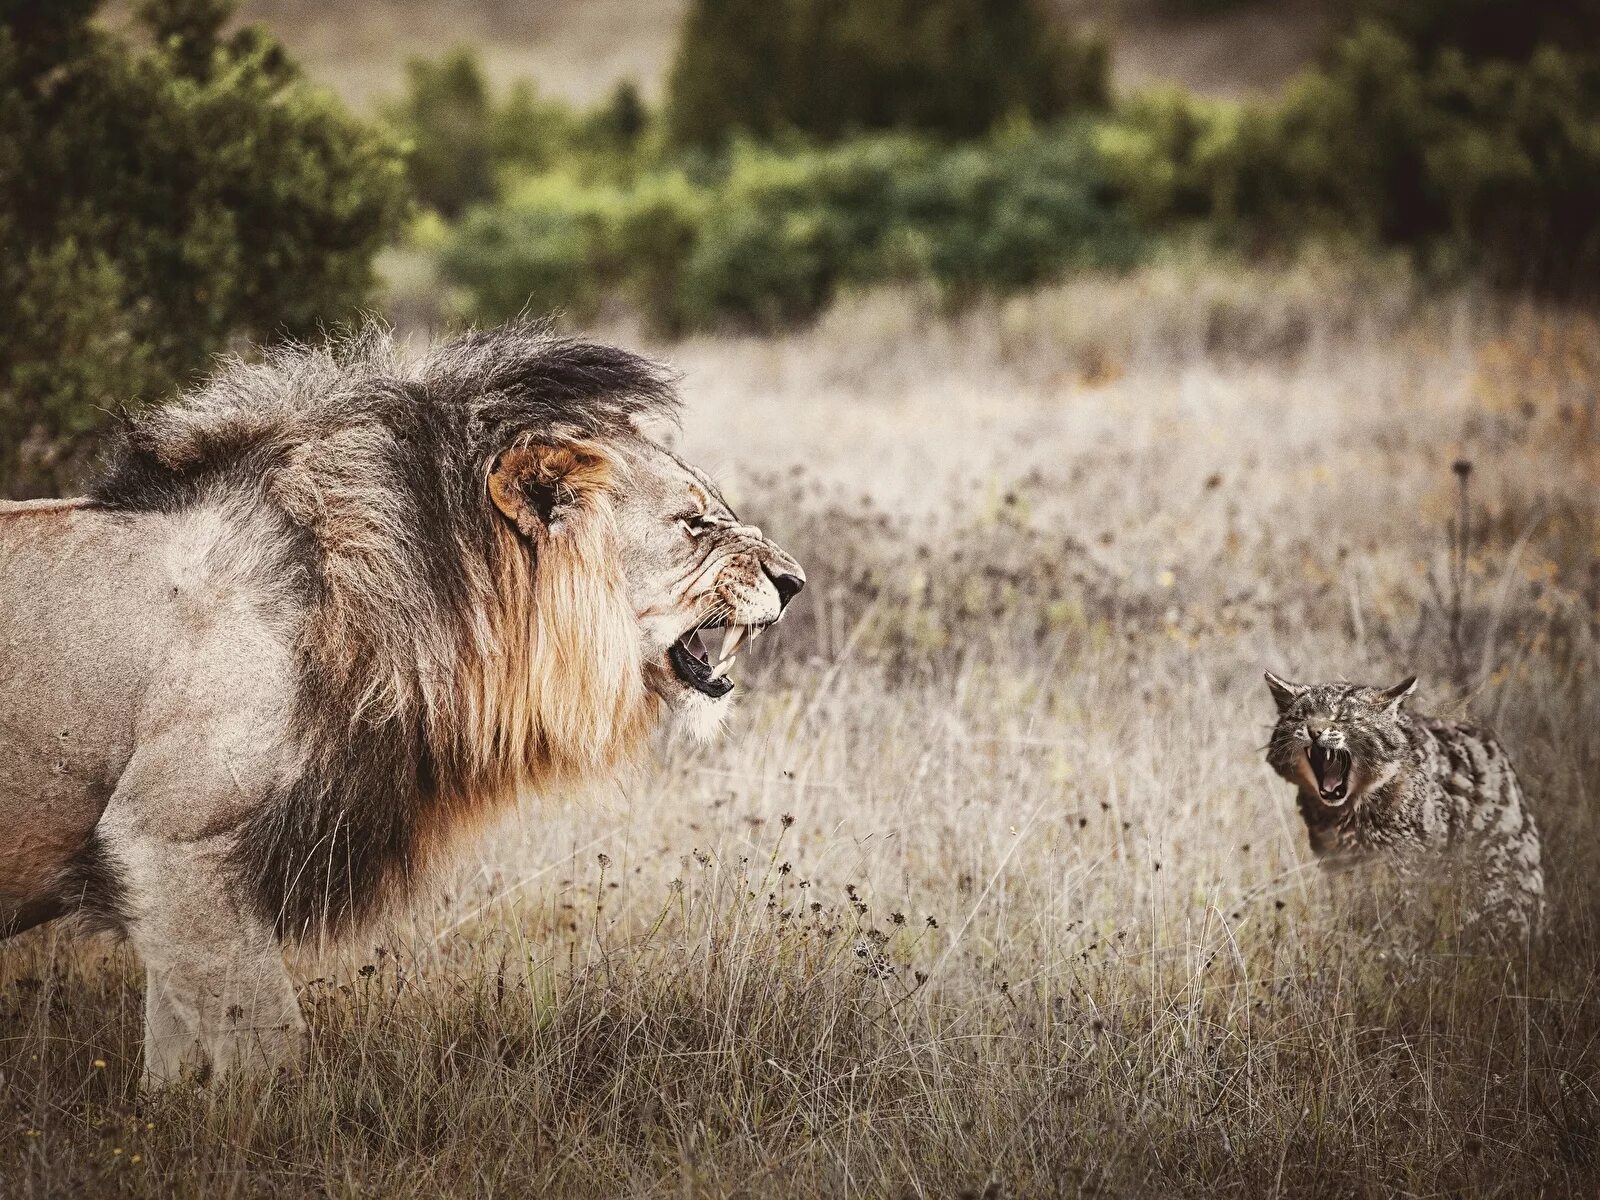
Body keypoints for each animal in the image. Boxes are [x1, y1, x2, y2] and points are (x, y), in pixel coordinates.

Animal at [0, 321, 800, 1088]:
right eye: (694, 524)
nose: (793, 581)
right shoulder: (165, 838)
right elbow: (268, 1044)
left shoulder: (179, 874)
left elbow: (177, 1057)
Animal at [1267, 672, 1542, 934]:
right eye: (1301, 717)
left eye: (1343, 718)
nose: (1314, 731)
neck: (1348, 813)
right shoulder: (1337, 862)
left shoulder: (1410, 864)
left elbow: (1405, 915)